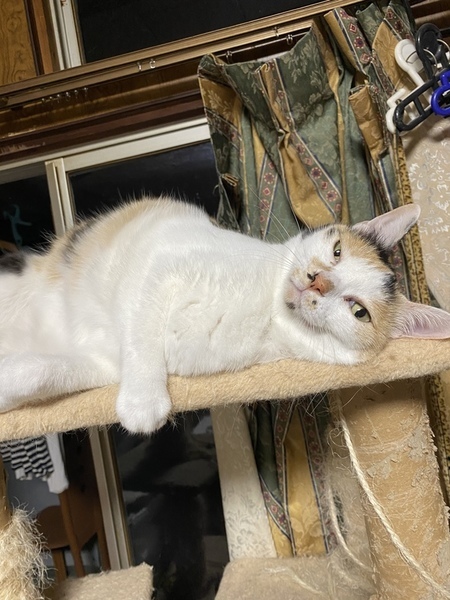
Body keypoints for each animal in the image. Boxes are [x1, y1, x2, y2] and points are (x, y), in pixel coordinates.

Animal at [1, 197, 450, 434]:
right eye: (337, 251)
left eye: (359, 311)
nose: (317, 281)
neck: (262, 306)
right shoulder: (157, 263)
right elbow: (142, 330)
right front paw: (144, 400)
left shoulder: (104, 363)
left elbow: (41, 373)